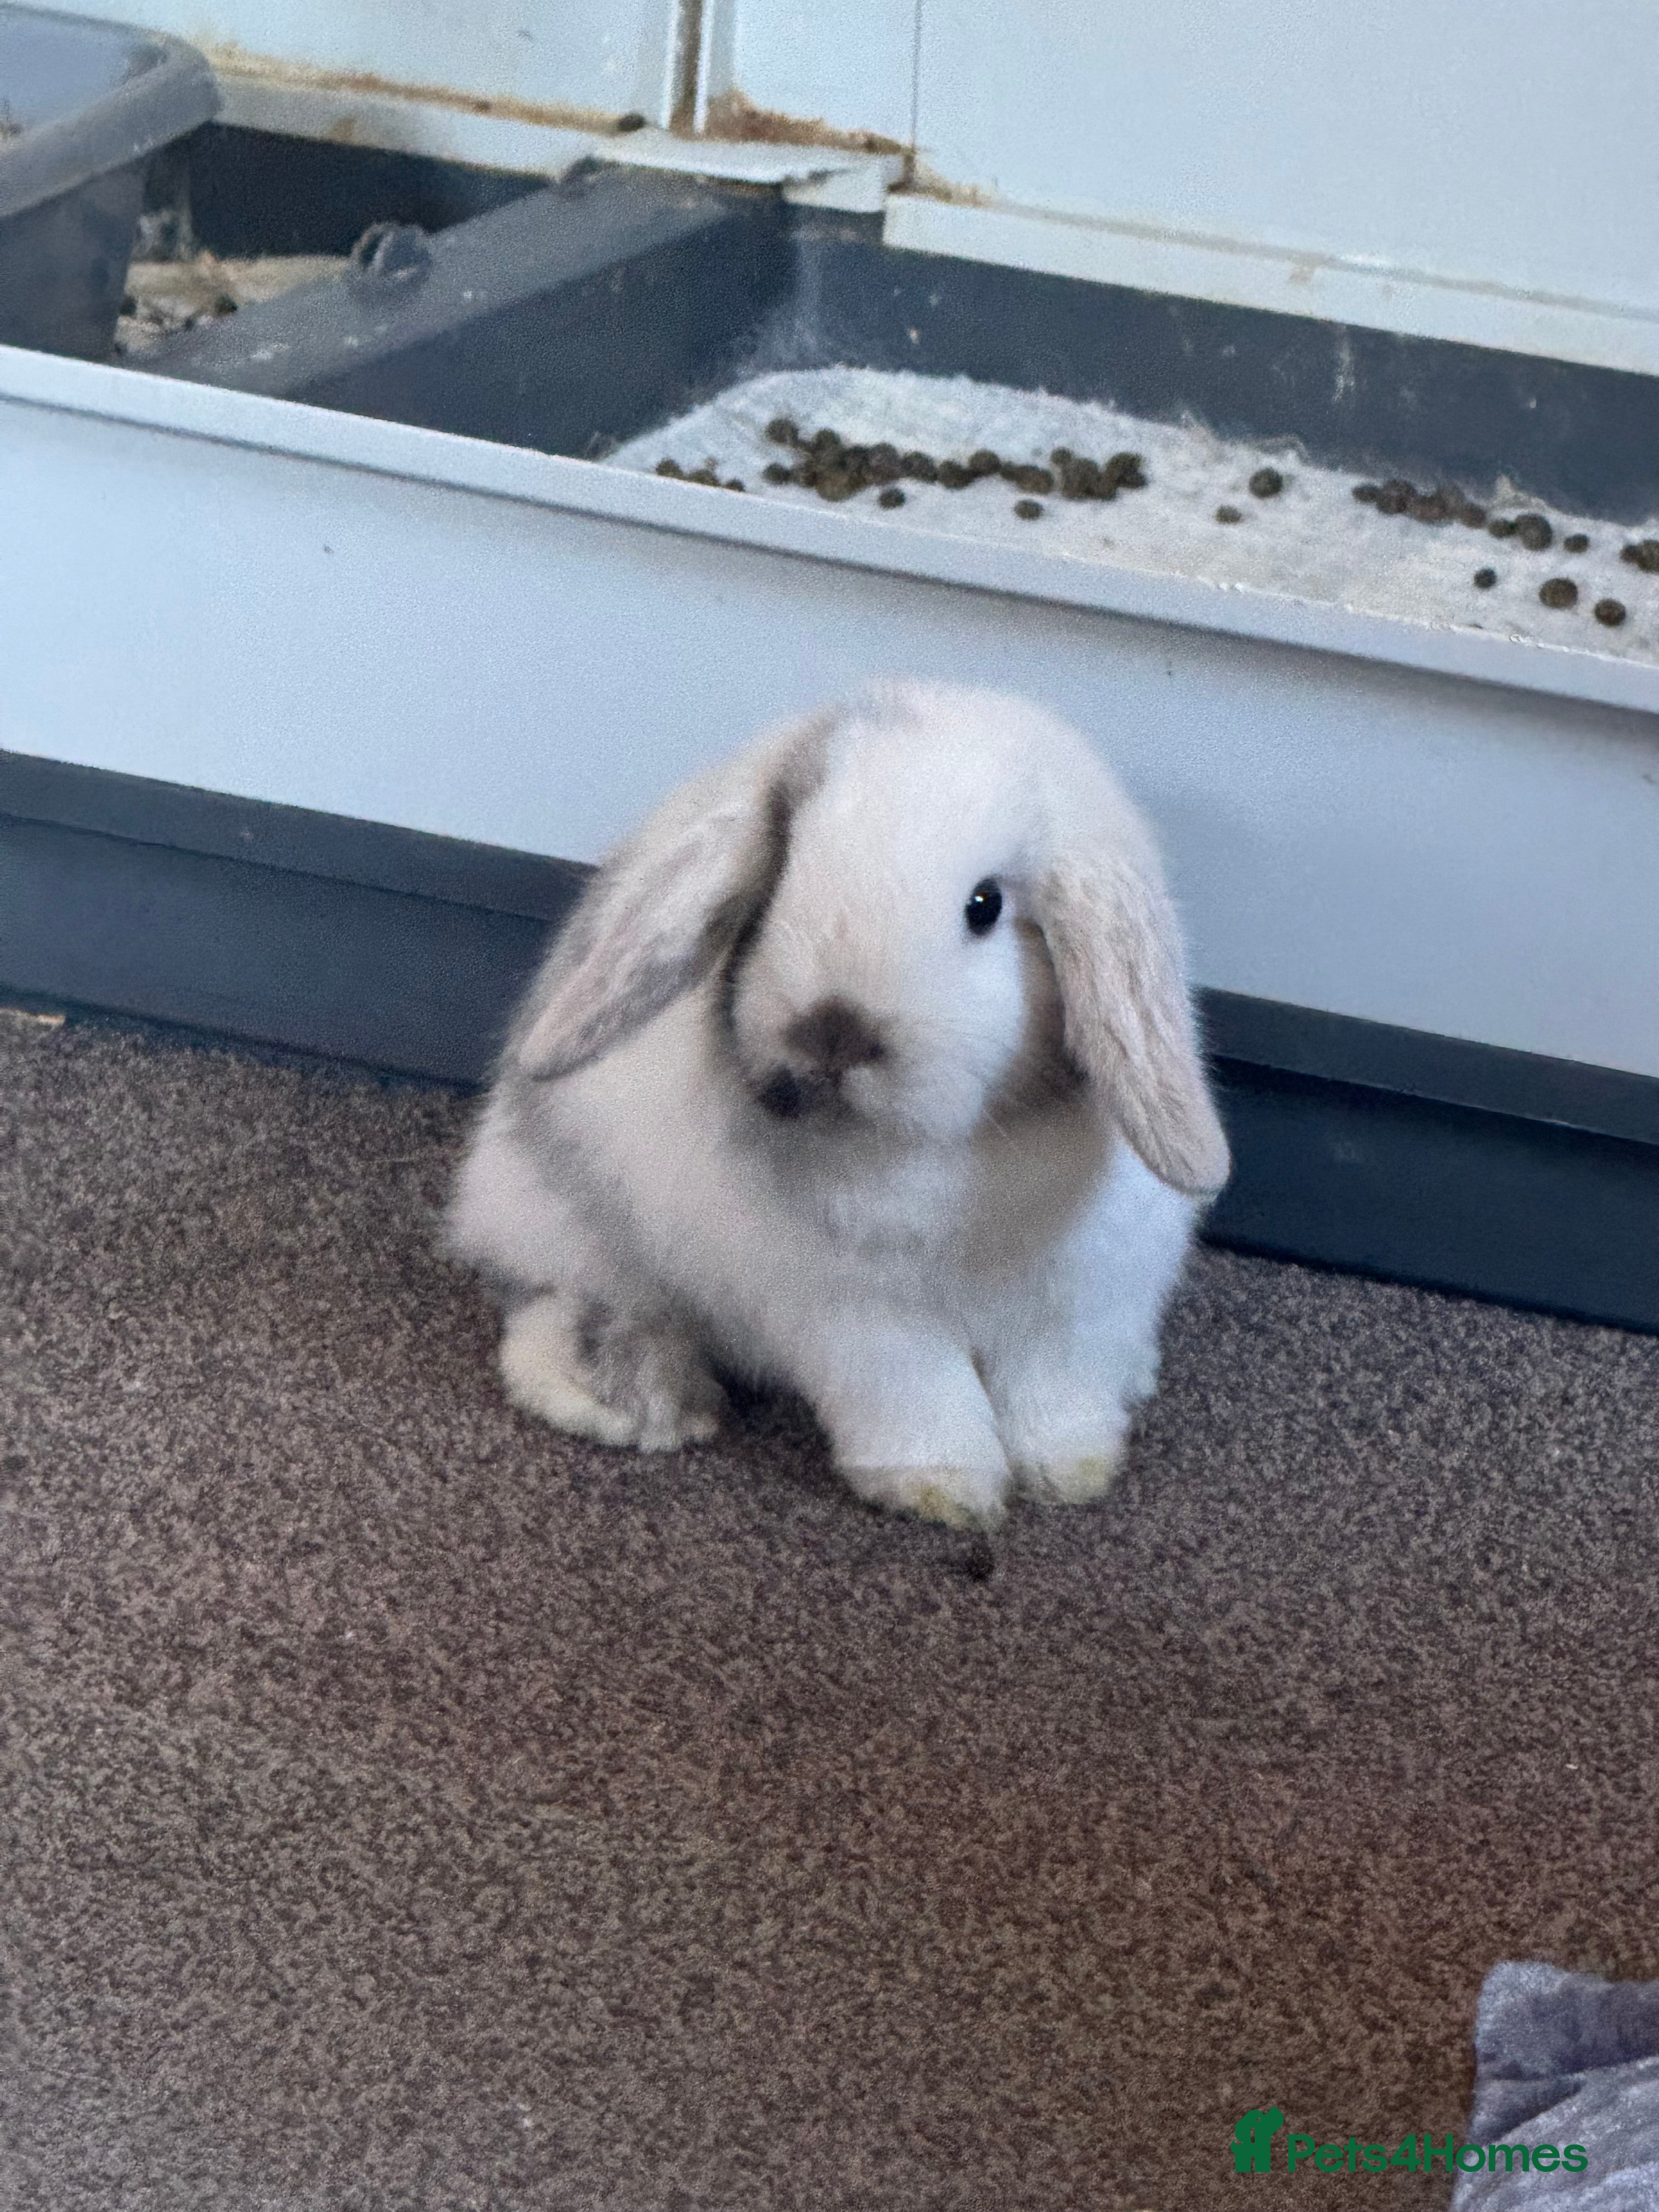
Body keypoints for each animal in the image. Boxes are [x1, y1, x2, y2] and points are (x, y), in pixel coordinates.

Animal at [445, 679, 1230, 1527]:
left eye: (985, 905)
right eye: (782, 879)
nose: (832, 1033)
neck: (942, 1159)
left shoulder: (1080, 1298)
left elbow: (1057, 1395)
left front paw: (1072, 1473)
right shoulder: (859, 1316)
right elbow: (920, 1398)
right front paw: (942, 1489)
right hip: (572, 1228)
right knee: (556, 1295)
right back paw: (634, 1399)